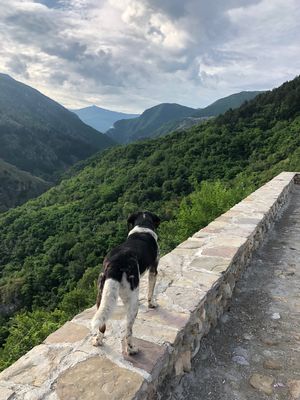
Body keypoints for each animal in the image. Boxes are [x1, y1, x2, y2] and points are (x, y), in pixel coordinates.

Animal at [91, 211, 159, 354]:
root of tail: (114, 264)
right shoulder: (153, 269)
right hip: (132, 302)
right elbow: (150, 291)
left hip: (101, 295)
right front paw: (151, 304)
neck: (142, 226)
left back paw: (98, 341)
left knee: (102, 325)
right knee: (128, 331)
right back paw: (131, 349)